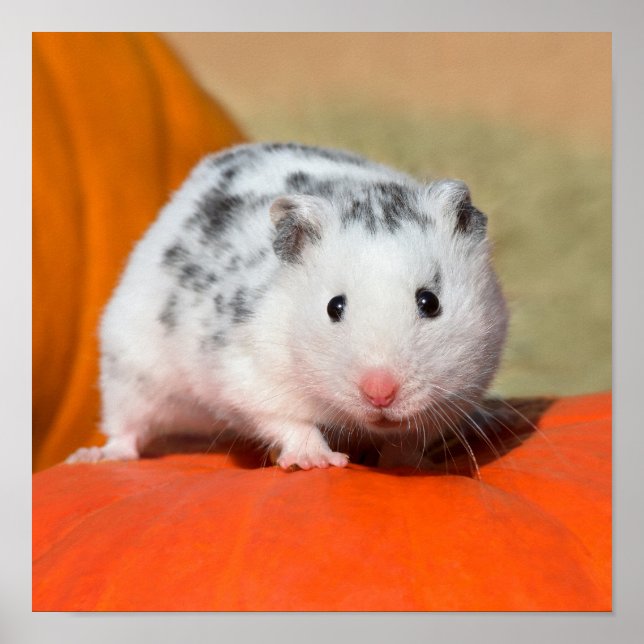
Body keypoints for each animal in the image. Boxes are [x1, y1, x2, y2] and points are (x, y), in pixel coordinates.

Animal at [66, 142, 509, 471]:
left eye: (429, 302)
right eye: (334, 307)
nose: (379, 394)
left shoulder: (464, 387)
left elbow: (411, 440)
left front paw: (408, 464)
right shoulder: (251, 376)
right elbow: (289, 421)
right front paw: (317, 461)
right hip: (130, 368)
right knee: (126, 428)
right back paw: (92, 457)